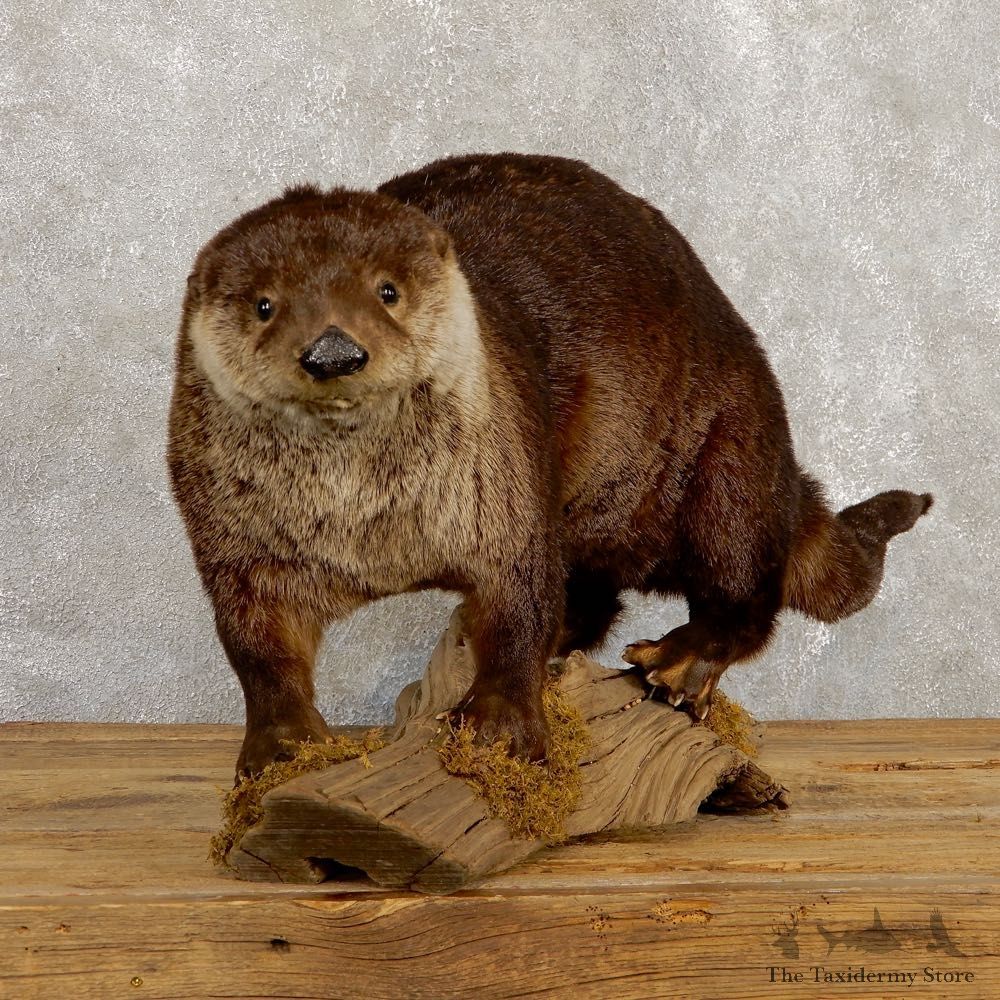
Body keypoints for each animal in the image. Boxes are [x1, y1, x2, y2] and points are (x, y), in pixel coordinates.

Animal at [167, 153, 931, 778]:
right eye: (265, 305)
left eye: (387, 291)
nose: (333, 351)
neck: (370, 524)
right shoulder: (233, 538)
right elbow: (256, 640)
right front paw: (285, 743)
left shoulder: (505, 485)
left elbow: (521, 595)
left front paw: (499, 728)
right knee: (595, 597)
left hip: (728, 450)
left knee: (741, 586)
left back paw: (677, 662)